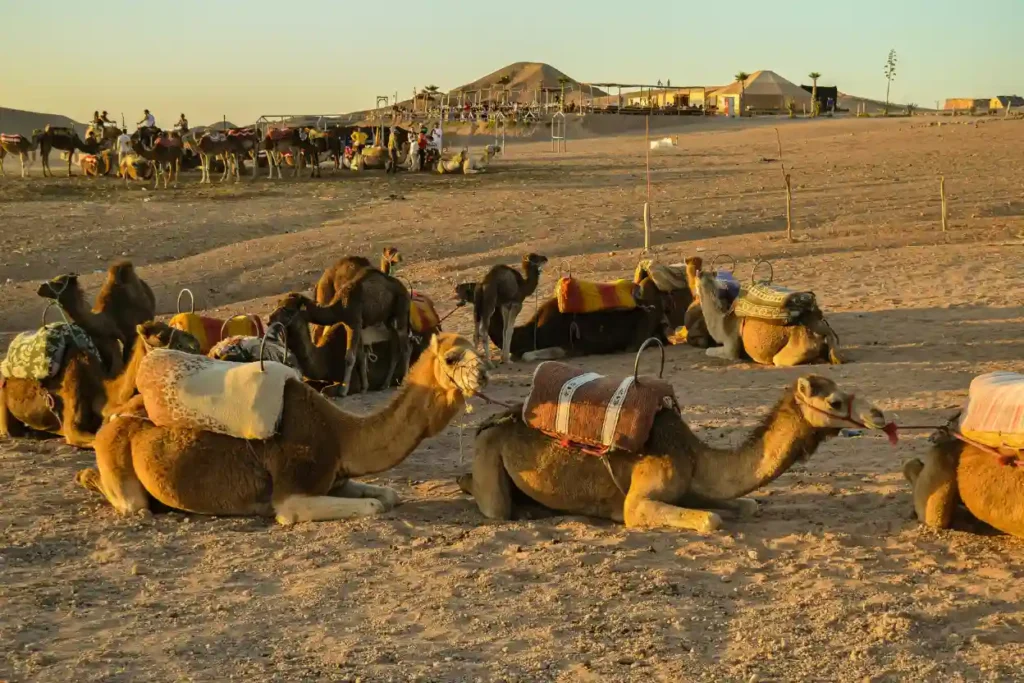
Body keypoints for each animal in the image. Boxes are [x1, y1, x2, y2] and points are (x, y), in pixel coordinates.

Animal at [75, 333, 488, 523]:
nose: (483, 373)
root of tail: (111, 420)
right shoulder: (292, 492)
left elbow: (387, 495)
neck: (341, 434)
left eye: (478, 349)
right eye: (453, 356)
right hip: (121, 467)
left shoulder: (334, 478)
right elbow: (373, 506)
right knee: (132, 504)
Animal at [461, 374, 888, 530]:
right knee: (494, 504)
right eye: (834, 401)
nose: (879, 415)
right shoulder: (638, 502)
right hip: (488, 456)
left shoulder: (692, 486)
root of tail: (493, 421)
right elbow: (711, 520)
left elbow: (746, 505)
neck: (695, 455)